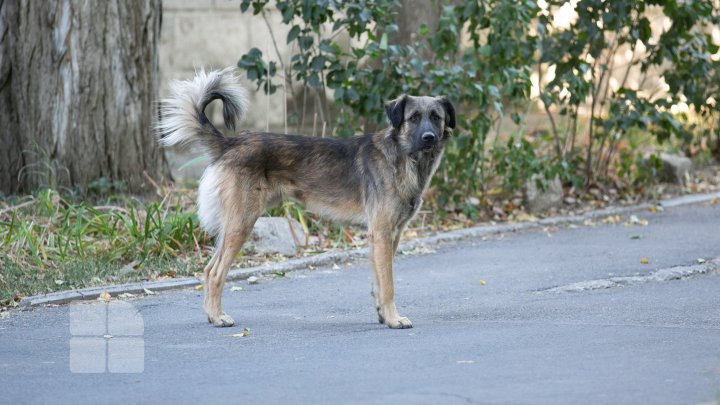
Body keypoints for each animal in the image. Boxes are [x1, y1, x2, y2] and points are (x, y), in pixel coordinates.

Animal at [158, 68, 456, 328]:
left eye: (436, 117)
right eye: (414, 117)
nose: (429, 138)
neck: (402, 158)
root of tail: (231, 144)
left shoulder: (388, 236)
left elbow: (378, 283)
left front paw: (384, 315)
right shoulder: (381, 234)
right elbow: (389, 284)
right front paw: (394, 319)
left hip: (235, 225)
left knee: (208, 270)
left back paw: (212, 315)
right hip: (241, 223)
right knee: (217, 272)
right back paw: (218, 317)